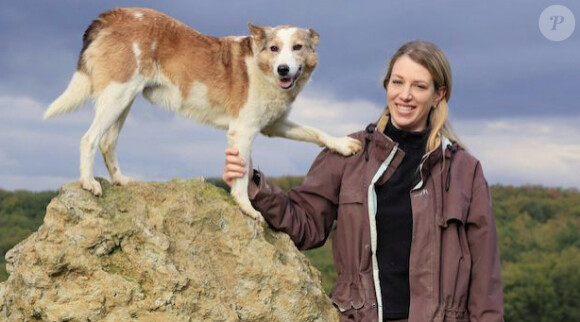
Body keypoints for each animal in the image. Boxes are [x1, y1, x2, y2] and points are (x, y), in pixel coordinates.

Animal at [45, 7, 360, 220]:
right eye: (274, 48)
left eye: (297, 47)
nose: (284, 70)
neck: (263, 70)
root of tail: (112, 14)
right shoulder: (243, 131)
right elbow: (241, 179)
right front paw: (246, 208)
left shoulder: (274, 125)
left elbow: (317, 132)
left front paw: (343, 144)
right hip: (116, 95)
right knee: (89, 139)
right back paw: (88, 183)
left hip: (124, 100)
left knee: (108, 142)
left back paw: (121, 180)